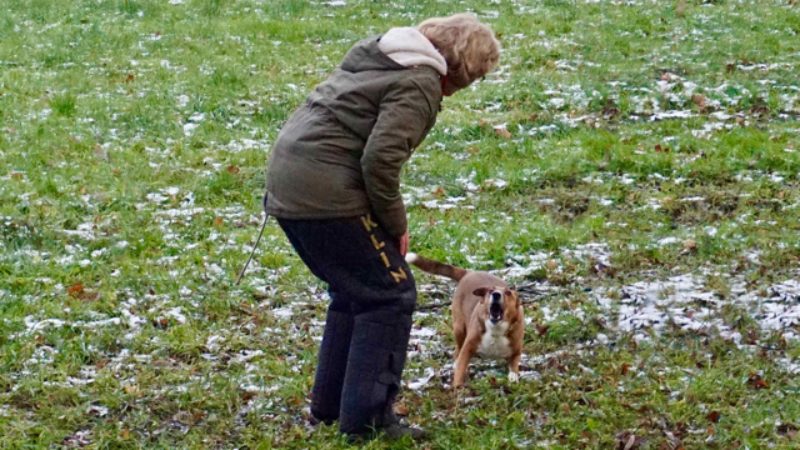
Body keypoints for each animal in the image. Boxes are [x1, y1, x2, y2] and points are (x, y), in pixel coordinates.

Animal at [406, 253, 524, 386]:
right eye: (490, 290)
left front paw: (513, 376)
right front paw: (457, 385)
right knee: (457, 351)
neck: (496, 330)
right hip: (459, 329)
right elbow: (461, 367)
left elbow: (514, 365)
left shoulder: (516, 351)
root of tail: (469, 273)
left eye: (508, 293)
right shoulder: (467, 349)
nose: (496, 294)